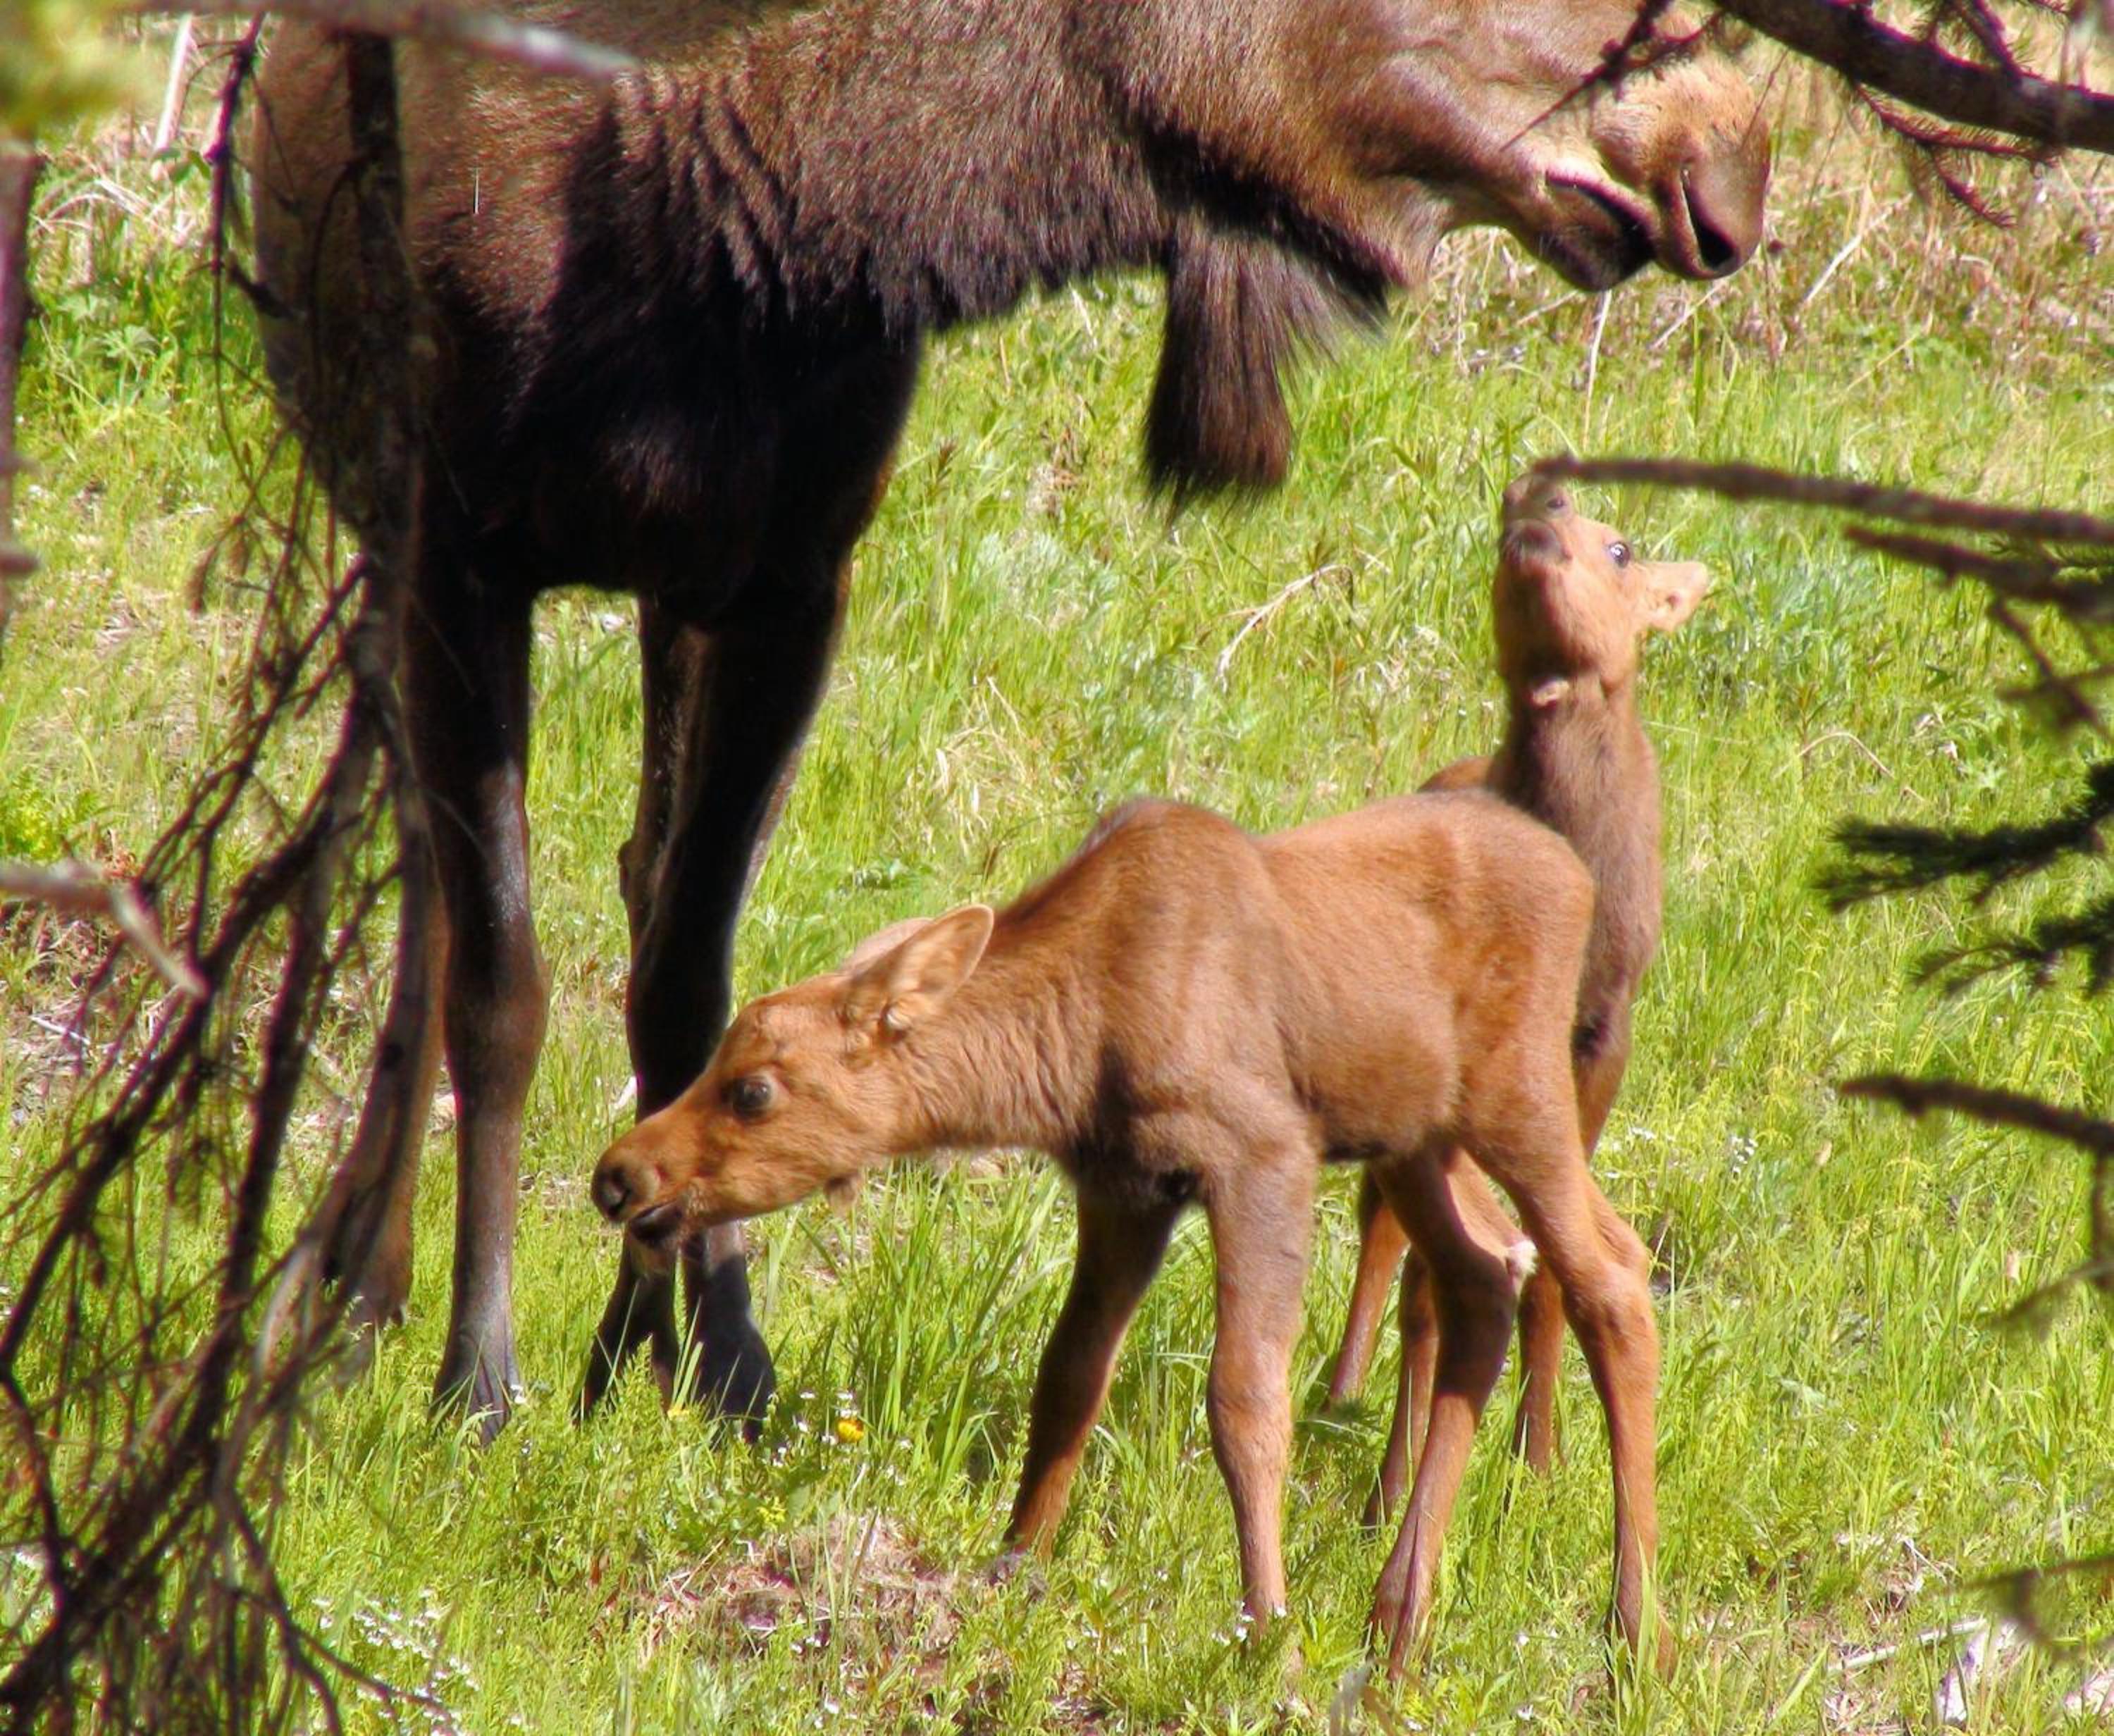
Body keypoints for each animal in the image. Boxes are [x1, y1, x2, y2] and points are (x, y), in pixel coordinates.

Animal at [590, 788, 1668, 1673]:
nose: (619, 1173)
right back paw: (1398, 1621)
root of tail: (1578, 877)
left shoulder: (1261, 1155)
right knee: (1484, 1275)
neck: (1075, 1045)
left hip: (1518, 1097)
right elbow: (1068, 1376)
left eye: (754, 1089)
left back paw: (1634, 1632)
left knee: (1612, 1272)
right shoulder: (1126, 1192)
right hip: (1417, 1138)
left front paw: (1267, 1629)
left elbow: (1245, 1400)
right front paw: (1014, 1562)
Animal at [1324, 476, 1707, 1525]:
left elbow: (1550, 1276)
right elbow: (1437, 1275)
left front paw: (1537, 1459)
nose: (1540, 505)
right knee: (1384, 1233)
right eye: (1502, 533)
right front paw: (1394, 1487)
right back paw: (1345, 1392)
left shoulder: (1599, 1039)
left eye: (1621, 548)